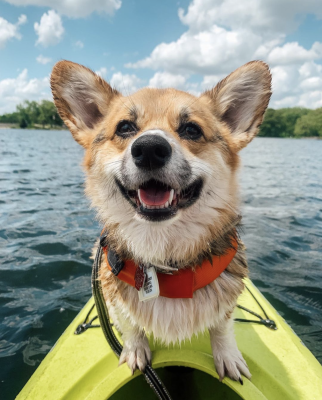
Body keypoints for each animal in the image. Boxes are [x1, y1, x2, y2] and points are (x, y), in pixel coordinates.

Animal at [51, 59, 272, 382]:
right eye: (125, 127)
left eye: (191, 129)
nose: (149, 149)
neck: (163, 251)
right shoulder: (112, 295)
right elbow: (130, 324)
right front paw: (135, 351)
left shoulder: (227, 300)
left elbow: (222, 326)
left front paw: (228, 357)